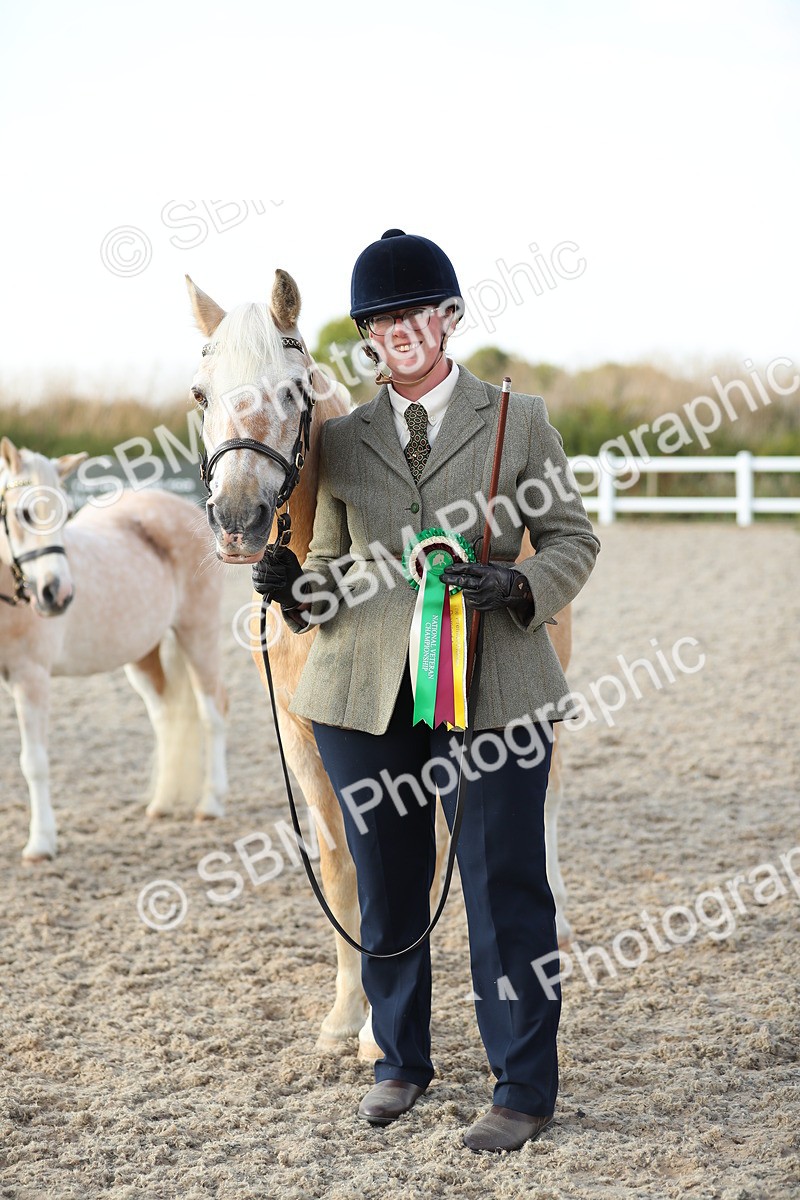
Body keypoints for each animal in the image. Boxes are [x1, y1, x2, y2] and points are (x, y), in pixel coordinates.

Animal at [0, 438, 228, 861]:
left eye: (65, 512)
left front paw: (41, 843)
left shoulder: (30, 679)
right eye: (23, 512)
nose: (58, 594)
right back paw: (161, 804)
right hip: (143, 656)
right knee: (166, 716)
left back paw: (211, 804)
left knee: (213, 711)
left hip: (198, 634)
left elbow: (34, 763)